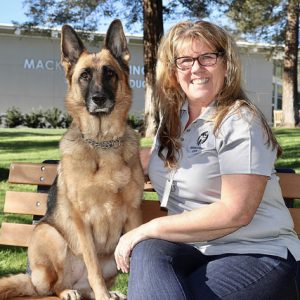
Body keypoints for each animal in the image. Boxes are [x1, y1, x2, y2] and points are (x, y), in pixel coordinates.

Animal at [0, 19, 144, 300]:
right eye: (85, 76)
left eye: (109, 73)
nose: (99, 99)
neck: (102, 143)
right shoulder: (81, 220)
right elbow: (93, 267)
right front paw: (102, 294)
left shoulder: (133, 215)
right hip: (48, 234)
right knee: (50, 288)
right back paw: (69, 291)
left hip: (111, 256)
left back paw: (109, 293)